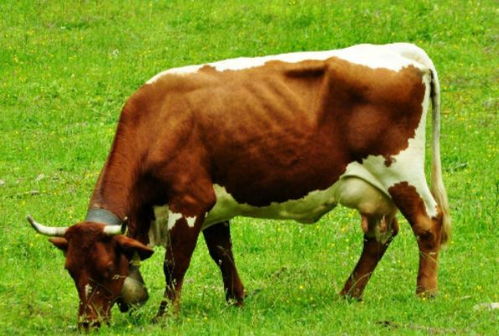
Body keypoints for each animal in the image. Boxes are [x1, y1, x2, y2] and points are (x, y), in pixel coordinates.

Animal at [27, 43, 452, 330]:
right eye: (71, 269)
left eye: (107, 269)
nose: (88, 323)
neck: (159, 122)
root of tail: (401, 51)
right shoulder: (212, 204)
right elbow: (221, 253)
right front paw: (236, 300)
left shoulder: (189, 201)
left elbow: (175, 262)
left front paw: (166, 316)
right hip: (373, 190)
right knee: (380, 235)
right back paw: (350, 293)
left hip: (400, 171)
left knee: (427, 224)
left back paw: (425, 292)